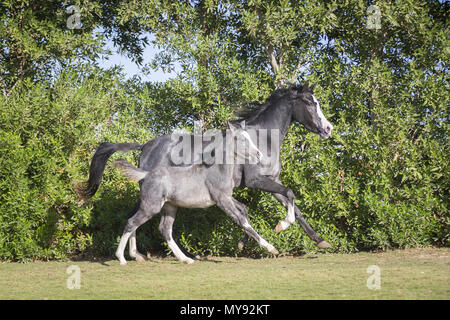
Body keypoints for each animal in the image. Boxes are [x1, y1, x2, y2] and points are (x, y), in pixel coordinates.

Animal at [112, 120, 278, 264]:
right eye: (242, 139)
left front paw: (245, 245)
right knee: (132, 222)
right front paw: (271, 248)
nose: (259, 154)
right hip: (151, 206)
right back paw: (122, 258)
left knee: (164, 229)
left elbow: (243, 213)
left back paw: (185, 259)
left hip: (170, 207)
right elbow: (241, 220)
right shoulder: (222, 201)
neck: (217, 170)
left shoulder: (228, 198)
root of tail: (146, 174)